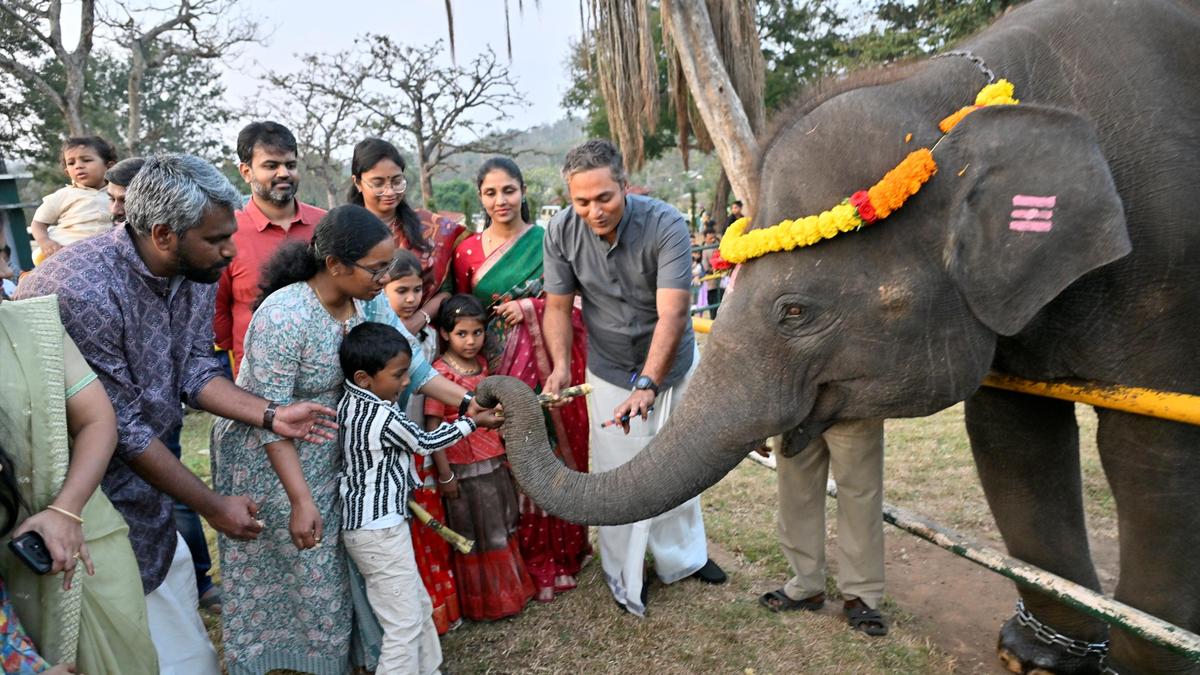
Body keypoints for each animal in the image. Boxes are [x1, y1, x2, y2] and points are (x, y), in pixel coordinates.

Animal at [479, 0, 1200, 672]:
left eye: (795, 311)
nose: (491, 393)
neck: (942, 92)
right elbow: (1012, 434)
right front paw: (1036, 656)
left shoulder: (1169, 263)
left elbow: (1152, 457)